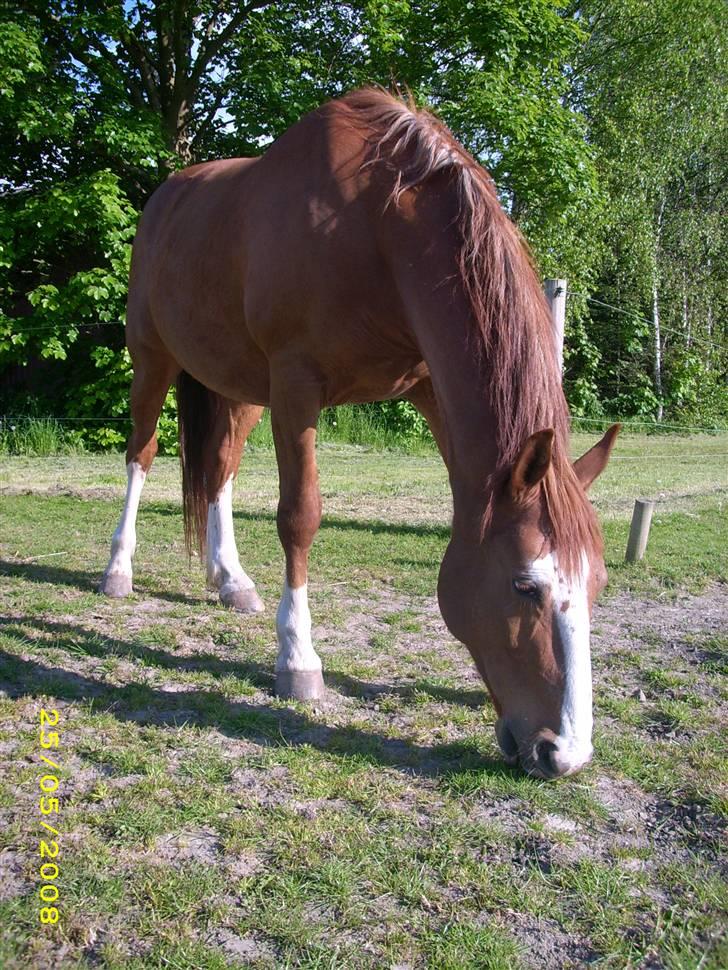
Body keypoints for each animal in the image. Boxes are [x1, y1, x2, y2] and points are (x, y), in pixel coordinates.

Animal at [99, 89, 616, 780]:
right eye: (524, 585)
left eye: (597, 584)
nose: (566, 752)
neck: (378, 229)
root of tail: (167, 197)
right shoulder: (297, 387)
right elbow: (299, 517)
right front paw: (298, 661)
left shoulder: (427, 386)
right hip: (153, 360)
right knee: (143, 453)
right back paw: (118, 569)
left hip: (240, 387)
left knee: (219, 470)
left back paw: (230, 579)